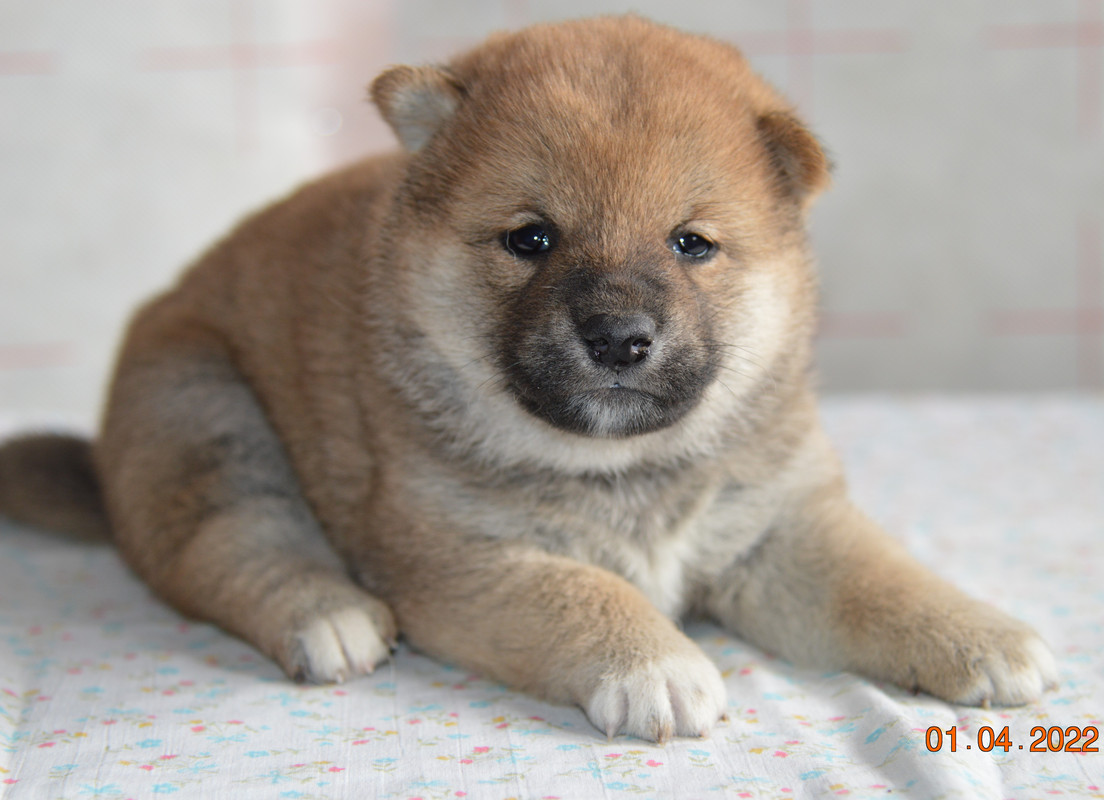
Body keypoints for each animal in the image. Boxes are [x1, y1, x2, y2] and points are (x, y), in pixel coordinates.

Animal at [0, 15, 1055, 741]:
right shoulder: (462, 558)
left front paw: (984, 636)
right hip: (204, 409)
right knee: (226, 547)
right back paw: (326, 612)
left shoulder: (777, 531)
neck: (626, 469)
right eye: (532, 239)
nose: (620, 337)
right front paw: (656, 666)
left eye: (691, 244)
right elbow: (586, 594)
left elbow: (877, 576)